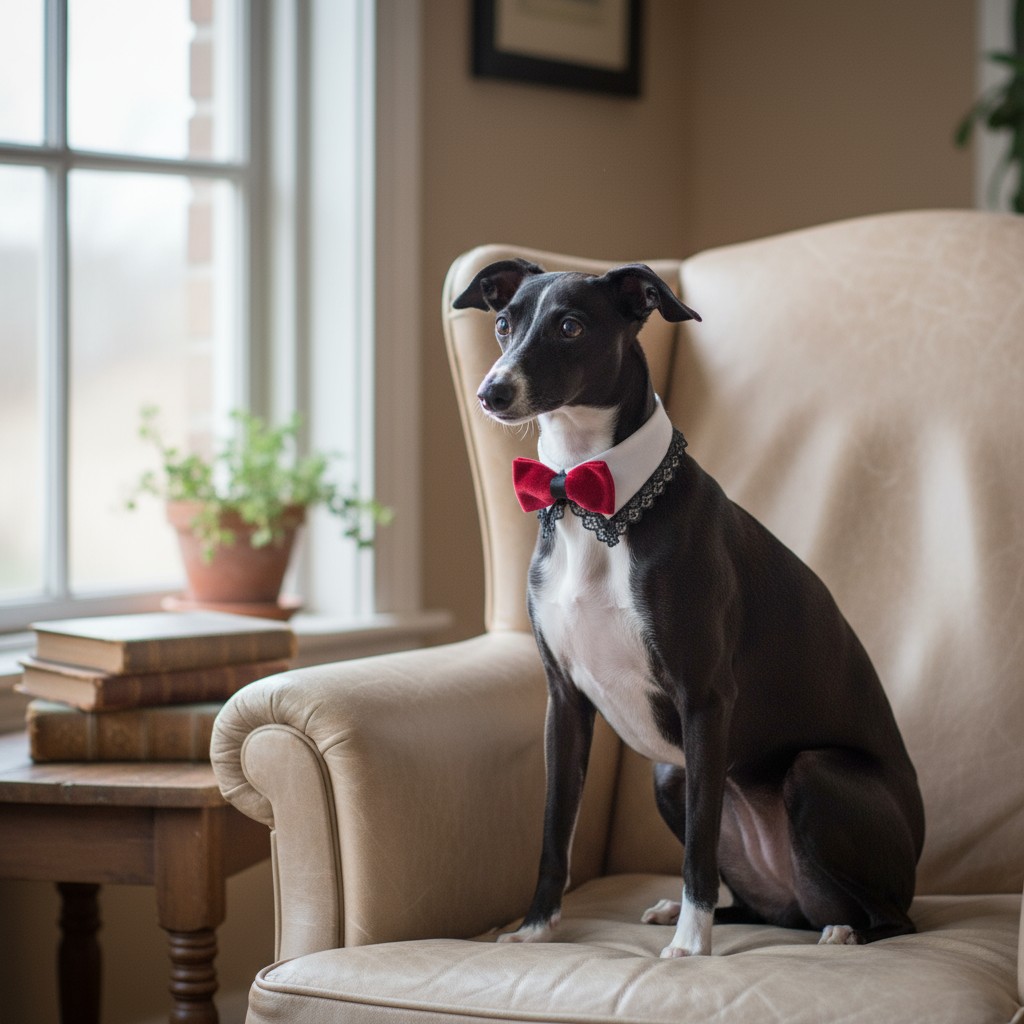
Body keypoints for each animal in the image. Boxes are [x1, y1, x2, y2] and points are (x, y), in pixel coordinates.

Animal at [453, 258, 925, 958]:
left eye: (570, 326)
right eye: (503, 324)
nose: (492, 392)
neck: (592, 503)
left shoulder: (704, 699)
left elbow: (698, 848)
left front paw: (691, 947)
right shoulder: (565, 703)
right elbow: (553, 834)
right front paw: (535, 929)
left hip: (814, 774)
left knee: (895, 917)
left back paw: (844, 931)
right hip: (669, 777)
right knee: (766, 909)